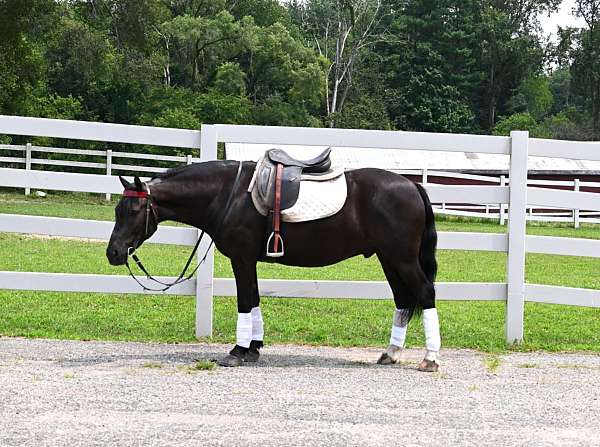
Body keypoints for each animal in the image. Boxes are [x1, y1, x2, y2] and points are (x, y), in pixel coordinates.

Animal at [106, 160, 440, 372]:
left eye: (133, 210)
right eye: (117, 209)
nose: (114, 252)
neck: (229, 194)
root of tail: (412, 185)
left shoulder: (241, 259)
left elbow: (244, 301)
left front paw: (237, 352)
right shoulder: (248, 260)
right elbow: (254, 300)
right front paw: (253, 348)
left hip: (402, 259)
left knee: (425, 294)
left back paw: (430, 359)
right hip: (389, 259)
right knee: (402, 300)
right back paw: (391, 353)